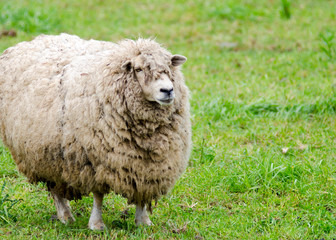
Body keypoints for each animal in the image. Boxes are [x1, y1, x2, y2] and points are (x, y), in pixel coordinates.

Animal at [0, 33, 190, 229]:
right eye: (138, 69)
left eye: (168, 67)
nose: (167, 90)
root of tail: (33, 40)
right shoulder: (96, 161)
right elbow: (98, 196)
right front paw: (97, 225)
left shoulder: (146, 167)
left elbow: (142, 194)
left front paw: (143, 222)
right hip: (43, 156)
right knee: (55, 189)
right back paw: (65, 216)